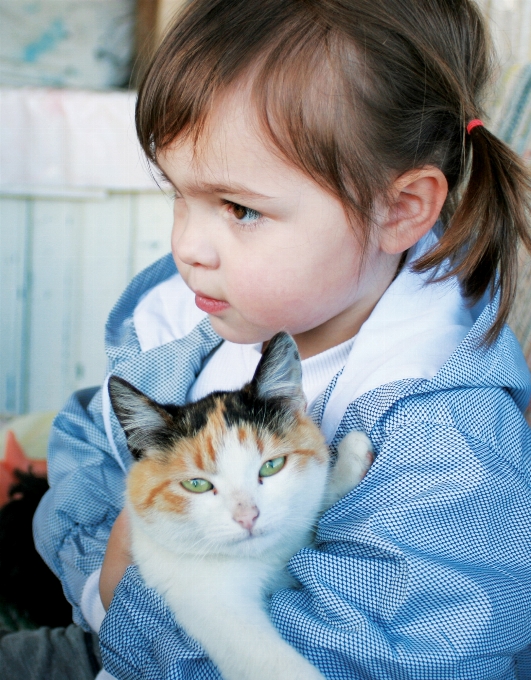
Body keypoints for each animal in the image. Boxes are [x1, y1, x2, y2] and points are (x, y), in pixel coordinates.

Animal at [109, 330, 372, 680]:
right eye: (196, 484)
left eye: (271, 465)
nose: (248, 516)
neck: (264, 561)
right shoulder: (207, 601)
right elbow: (269, 661)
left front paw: (349, 458)